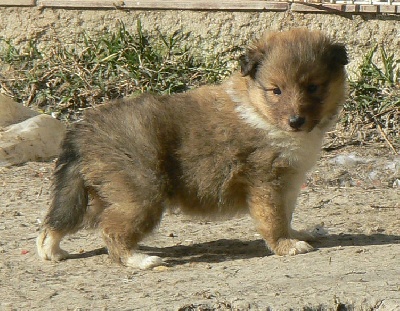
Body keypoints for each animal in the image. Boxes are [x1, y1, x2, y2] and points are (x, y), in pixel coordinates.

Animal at [36, 28, 346, 270]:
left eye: (313, 87)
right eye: (276, 90)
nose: (296, 121)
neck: (259, 111)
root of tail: (83, 130)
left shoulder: (289, 182)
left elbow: (288, 213)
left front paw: (298, 233)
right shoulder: (266, 182)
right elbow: (275, 219)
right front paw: (287, 245)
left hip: (99, 192)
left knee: (61, 221)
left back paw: (52, 251)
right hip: (140, 194)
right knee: (111, 230)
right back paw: (140, 260)